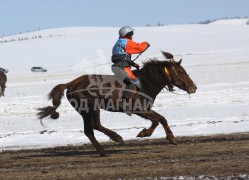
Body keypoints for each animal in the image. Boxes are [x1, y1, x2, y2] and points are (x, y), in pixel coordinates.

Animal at [37, 52, 196, 156]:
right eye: (181, 72)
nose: (193, 87)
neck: (145, 82)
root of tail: (70, 84)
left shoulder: (146, 109)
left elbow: (162, 119)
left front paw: (171, 138)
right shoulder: (139, 109)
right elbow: (157, 120)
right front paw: (144, 133)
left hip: (84, 112)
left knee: (89, 130)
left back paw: (103, 151)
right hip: (92, 107)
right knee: (95, 125)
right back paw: (117, 137)